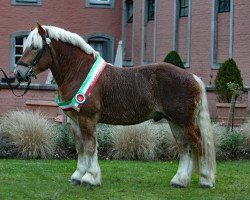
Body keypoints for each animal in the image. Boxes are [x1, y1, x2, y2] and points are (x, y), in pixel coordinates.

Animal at [14, 24, 215, 188]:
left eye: (35, 47)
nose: (18, 73)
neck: (78, 71)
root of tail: (193, 77)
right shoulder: (76, 121)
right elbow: (80, 147)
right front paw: (78, 176)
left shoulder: (87, 119)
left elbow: (90, 146)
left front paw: (90, 178)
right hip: (175, 121)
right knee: (184, 147)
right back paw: (179, 181)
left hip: (185, 122)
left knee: (199, 145)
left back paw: (206, 180)